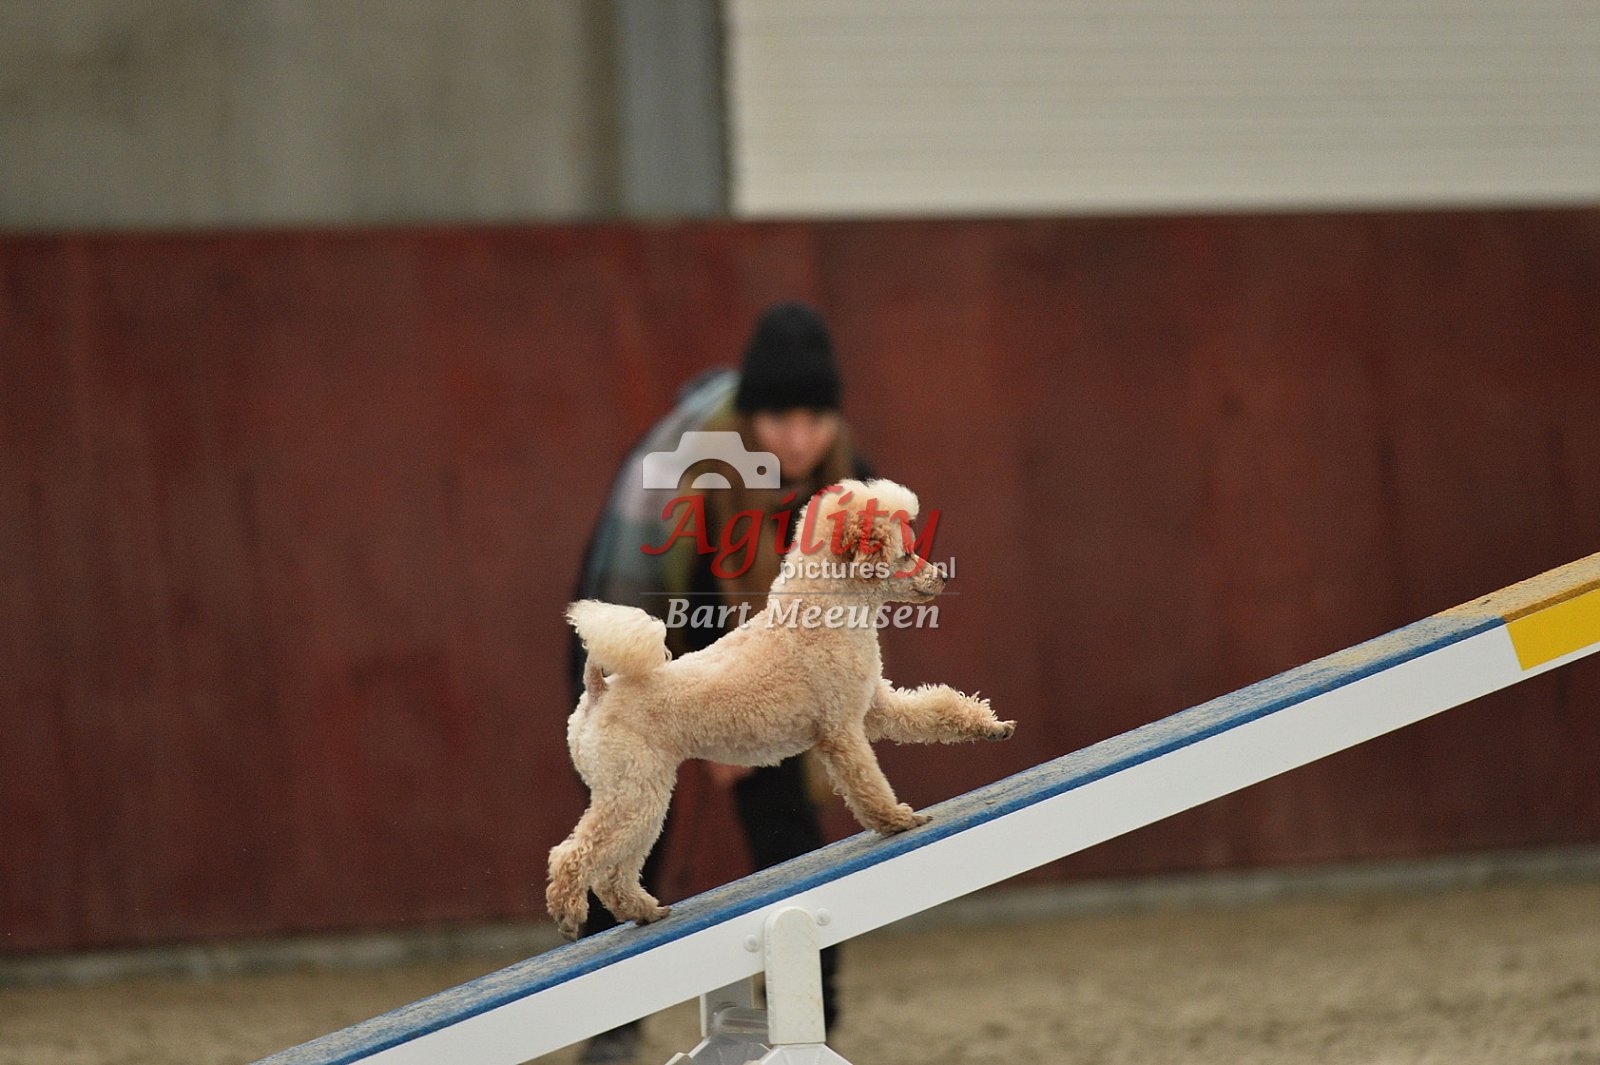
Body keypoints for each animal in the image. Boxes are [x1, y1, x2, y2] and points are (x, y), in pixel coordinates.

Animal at [546, 479, 1015, 939]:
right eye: (904, 554)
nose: (940, 577)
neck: (826, 611)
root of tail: (597, 692)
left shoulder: (875, 708)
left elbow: (936, 710)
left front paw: (992, 726)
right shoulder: (841, 730)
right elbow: (867, 782)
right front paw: (895, 820)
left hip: (636, 792)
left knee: (613, 873)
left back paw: (644, 911)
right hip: (635, 790)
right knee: (574, 853)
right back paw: (568, 912)